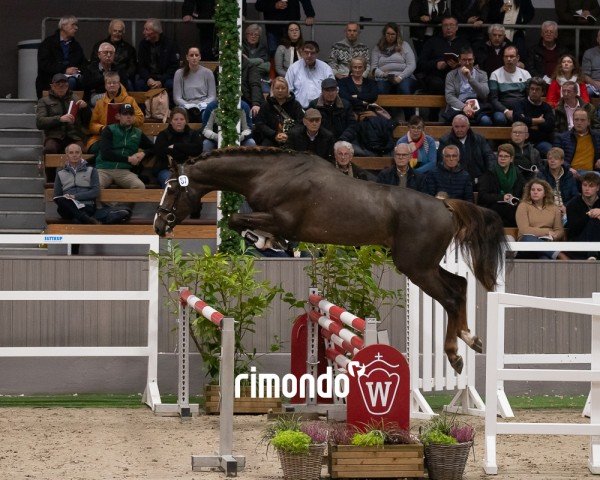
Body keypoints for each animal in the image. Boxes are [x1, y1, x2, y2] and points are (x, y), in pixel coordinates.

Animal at [155, 147, 506, 376]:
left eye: (172, 190)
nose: (159, 225)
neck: (268, 173)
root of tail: (445, 206)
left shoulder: (281, 219)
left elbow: (237, 220)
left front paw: (268, 240)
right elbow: (238, 221)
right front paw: (270, 242)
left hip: (416, 267)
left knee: (451, 296)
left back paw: (456, 354)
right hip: (424, 265)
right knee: (459, 285)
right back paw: (470, 338)